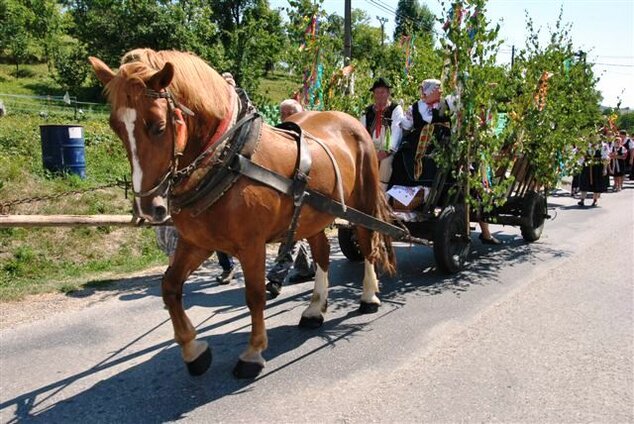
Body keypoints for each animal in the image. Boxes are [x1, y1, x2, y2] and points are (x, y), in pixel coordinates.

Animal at [89, 48, 392, 380]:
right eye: (116, 126)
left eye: (157, 125)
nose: (148, 207)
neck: (230, 156)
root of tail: (348, 119)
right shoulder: (197, 242)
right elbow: (169, 287)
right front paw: (193, 350)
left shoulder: (251, 245)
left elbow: (255, 295)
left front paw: (253, 352)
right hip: (313, 214)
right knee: (323, 252)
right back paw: (315, 308)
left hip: (362, 202)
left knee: (367, 241)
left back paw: (369, 296)